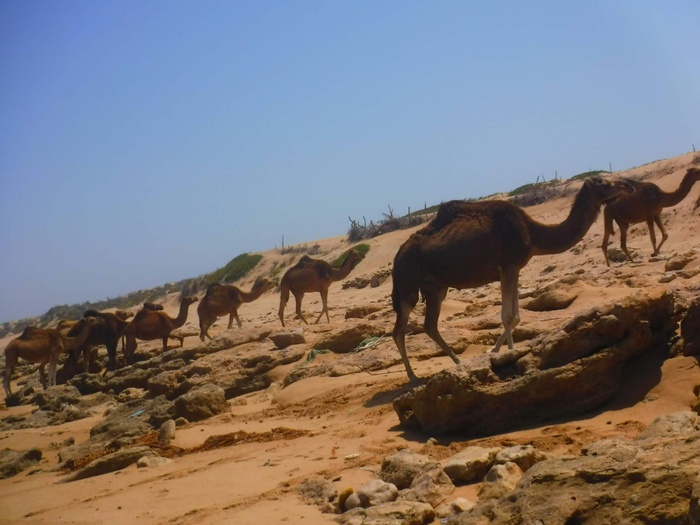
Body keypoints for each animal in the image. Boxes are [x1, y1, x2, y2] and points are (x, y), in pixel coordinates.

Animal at [391, 176, 635, 383]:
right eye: (605, 183)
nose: (630, 186)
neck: (532, 234)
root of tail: (398, 255)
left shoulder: (514, 268)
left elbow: (516, 316)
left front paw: (493, 351)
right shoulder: (508, 265)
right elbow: (507, 316)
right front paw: (509, 354)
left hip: (435, 286)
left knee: (429, 325)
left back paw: (458, 362)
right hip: (407, 281)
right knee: (399, 329)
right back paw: (413, 377)